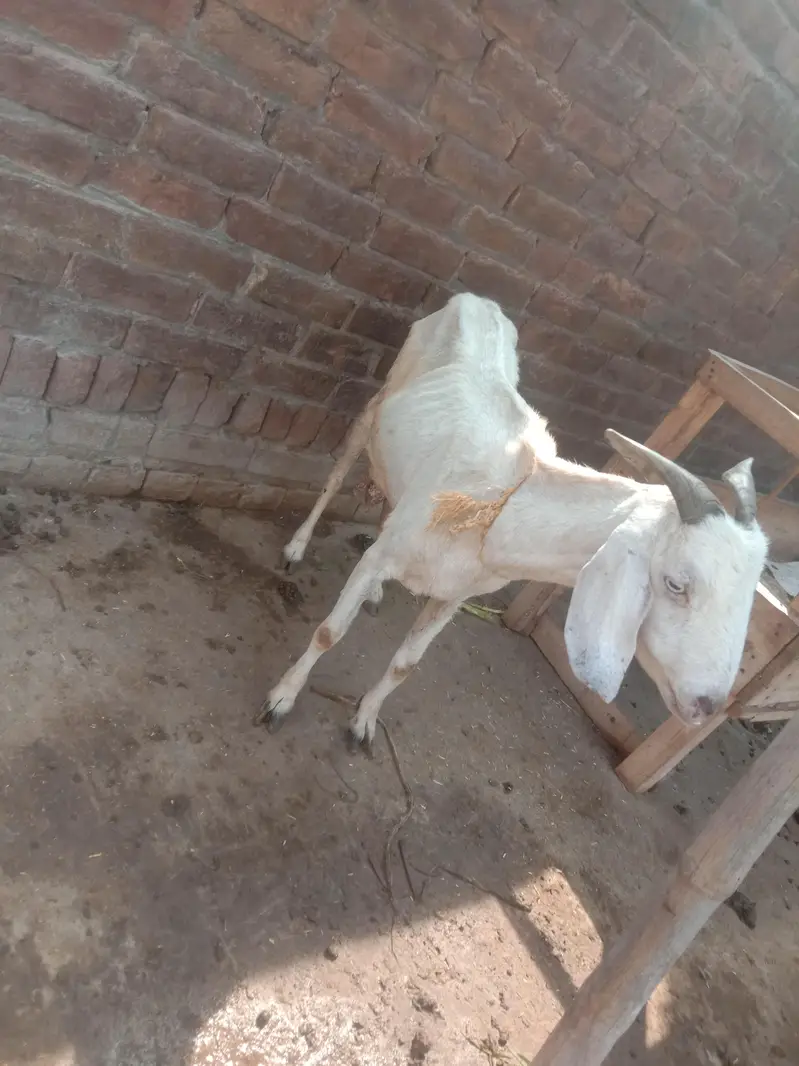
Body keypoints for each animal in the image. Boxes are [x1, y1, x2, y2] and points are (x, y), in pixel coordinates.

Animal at [257, 293, 768, 753]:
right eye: (677, 583)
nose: (707, 704)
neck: (500, 508)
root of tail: (478, 300)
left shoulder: (453, 596)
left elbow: (405, 665)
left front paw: (364, 722)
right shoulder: (383, 556)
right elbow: (329, 631)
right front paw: (280, 700)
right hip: (378, 405)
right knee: (340, 468)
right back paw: (297, 547)